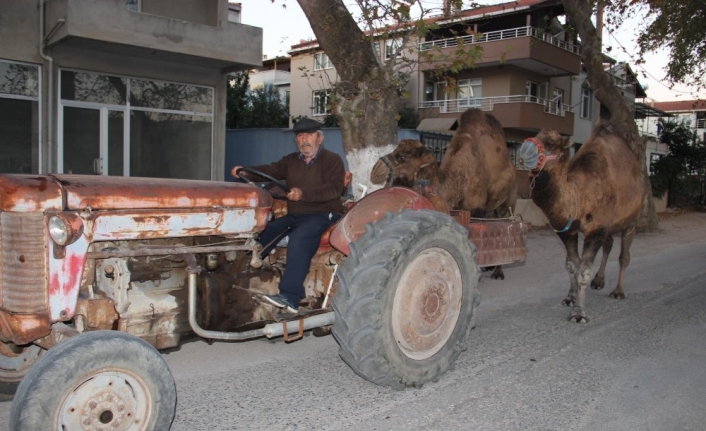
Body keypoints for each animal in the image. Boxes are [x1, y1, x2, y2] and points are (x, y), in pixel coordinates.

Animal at [368, 108, 516, 280]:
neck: (458, 181)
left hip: (508, 202)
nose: (375, 171)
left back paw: (498, 272)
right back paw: (490, 267)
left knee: (506, 225)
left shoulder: (477, 209)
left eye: (403, 157)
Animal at [516, 121, 644, 324]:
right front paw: (570, 298)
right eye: (533, 136)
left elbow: (583, 271)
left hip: (632, 221)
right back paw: (599, 282)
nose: (522, 153)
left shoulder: (596, 229)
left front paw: (579, 313)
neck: (579, 196)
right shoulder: (567, 231)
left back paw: (618, 291)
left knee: (624, 255)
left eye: (551, 143)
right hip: (610, 225)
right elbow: (572, 265)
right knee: (609, 243)